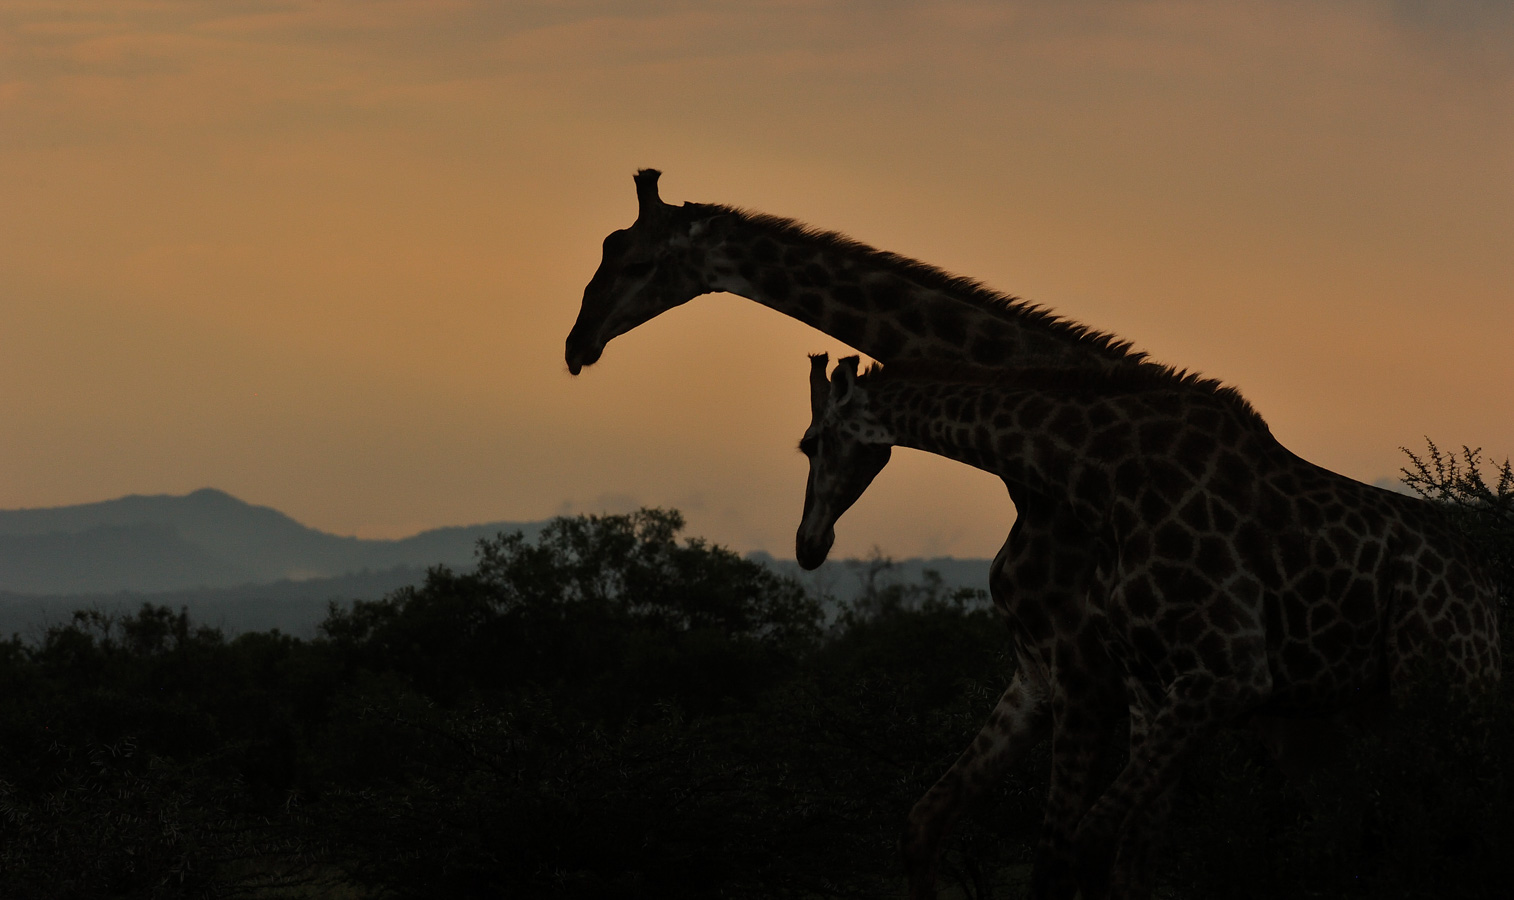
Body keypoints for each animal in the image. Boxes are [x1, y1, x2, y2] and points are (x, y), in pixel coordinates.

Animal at [566, 166, 1217, 890]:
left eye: (636, 260)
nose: (576, 344)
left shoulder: (1085, 672)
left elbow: (1060, 862)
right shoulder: (1042, 672)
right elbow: (924, 830)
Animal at [799, 354, 1495, 890]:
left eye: (809, 443)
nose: (808, 545)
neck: (1101, 480)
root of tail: (1481, 574)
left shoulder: (1221, 673)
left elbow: (1073, 853)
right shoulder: (1136, 686)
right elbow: (1113, 858)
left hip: (1446, 684)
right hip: (1370, 705)